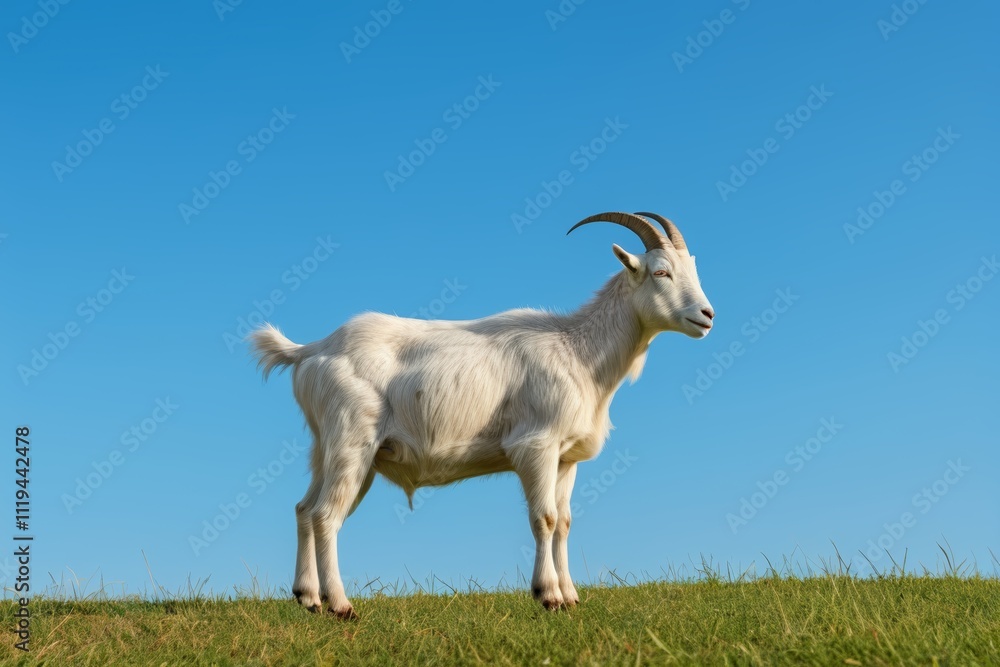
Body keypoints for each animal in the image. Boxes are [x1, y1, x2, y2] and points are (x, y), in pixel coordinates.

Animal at [250, 212, 714, 617]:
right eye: (660, 273)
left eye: (692, 269)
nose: (707, 316)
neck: (578, 351)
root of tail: (312, 350)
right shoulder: (535, 446)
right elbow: (544, 519)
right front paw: (548, 596)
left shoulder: (565, 458)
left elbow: (564, 521)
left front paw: (570, 596)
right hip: (352, 442)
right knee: (327, 515)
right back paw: (341, 606)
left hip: (327, 448)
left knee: (304, 509)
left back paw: (308, 598)